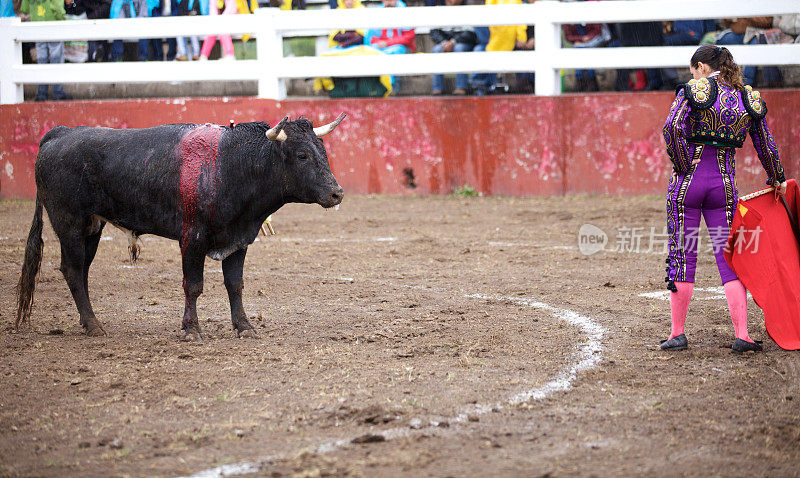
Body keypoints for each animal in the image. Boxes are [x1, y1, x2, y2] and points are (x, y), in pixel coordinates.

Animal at [15, 115, 346, 340]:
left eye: (324, 152)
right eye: (302, 155)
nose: (336, 193)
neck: (231, 163)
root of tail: (60, 132)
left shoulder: (237, 240)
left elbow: (235, 284)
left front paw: (244, 327)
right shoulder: (192, 238)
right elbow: (193, 285)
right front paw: (191, 330)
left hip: (92, 227)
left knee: (81, 270)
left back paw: (88, 322)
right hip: (69, 222)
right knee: (72, 270)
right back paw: (94, 326)